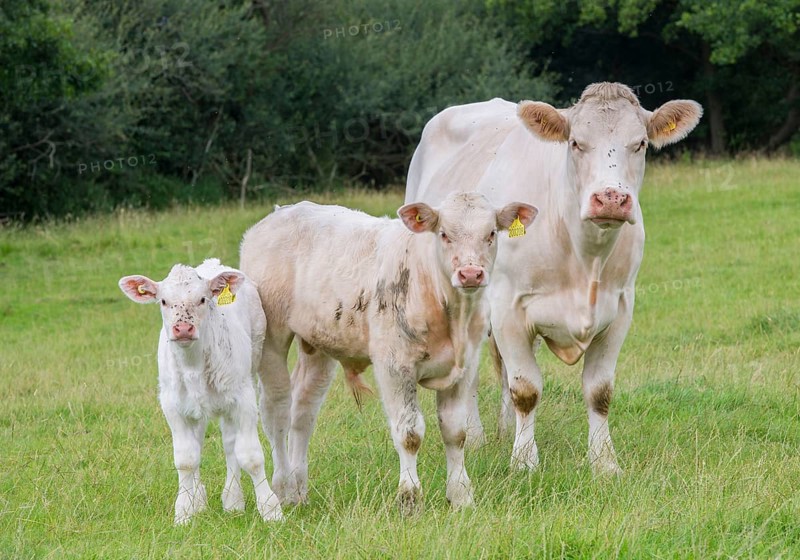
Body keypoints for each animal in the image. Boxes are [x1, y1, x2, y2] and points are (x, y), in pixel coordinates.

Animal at [118, 258, 283, 524]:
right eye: (163, 301)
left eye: (203, 299)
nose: (183, 328)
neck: (193, 366)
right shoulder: (171, 405)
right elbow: (186, 458)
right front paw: (185, 511)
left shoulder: (243, 398)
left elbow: (250, 456)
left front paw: (271, 510)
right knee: (197, 442)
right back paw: (199, 500)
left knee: (230, 442)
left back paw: (233, 500)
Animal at [239, 192, 537, 513]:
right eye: (444, 234)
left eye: (491, 233)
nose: (470, 274)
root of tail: (281, 213)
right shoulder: (394, 365)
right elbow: (409, 434)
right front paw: (409, 499)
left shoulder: (464, 366)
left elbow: (456, 432)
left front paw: (461, 495)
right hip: (271, 340)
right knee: (277, 412)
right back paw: (282, 490)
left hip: (317, 344)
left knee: (303, 410)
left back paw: (298, 490)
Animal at [405, 82, 702, 474]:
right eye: (575, 142)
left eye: (640, 143)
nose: (611, 198)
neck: (584, 256)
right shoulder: (508, 306)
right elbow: (526, 390)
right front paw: (524, 462)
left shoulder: (621, 307)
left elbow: (599, 391)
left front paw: (604, 463)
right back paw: (477, 436)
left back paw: (504, 432)